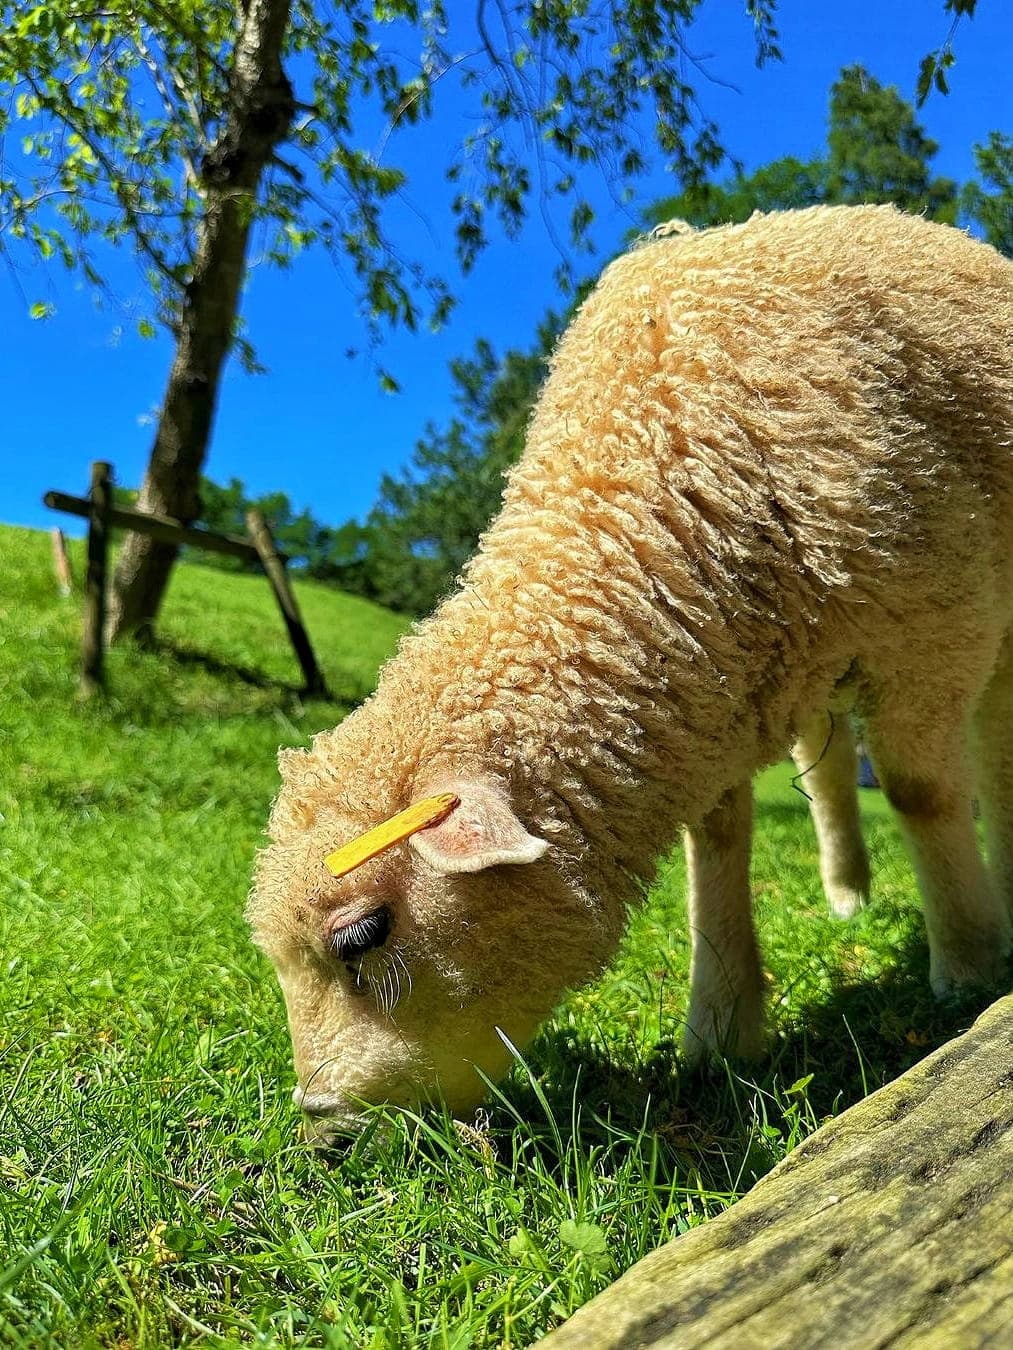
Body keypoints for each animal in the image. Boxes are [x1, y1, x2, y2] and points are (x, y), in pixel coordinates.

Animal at [248, 202, 1013, 1128]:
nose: (323, 1126)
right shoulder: (718, 687)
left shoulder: (936, 630)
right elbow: (716, 841)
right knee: (827, 768)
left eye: (361, 936)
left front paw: (967, 968)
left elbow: (923, 793)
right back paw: (845, 893)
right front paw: (719, 1026)